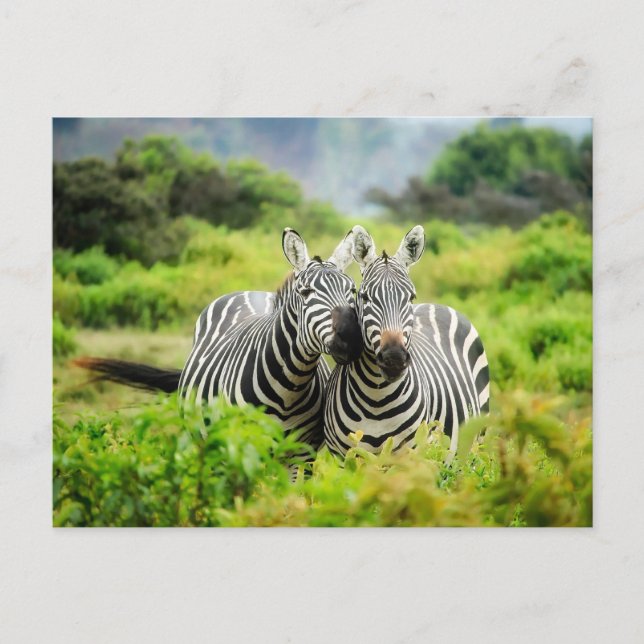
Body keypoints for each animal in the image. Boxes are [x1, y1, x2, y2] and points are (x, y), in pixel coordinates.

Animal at [76, 228, 362, 451]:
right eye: (305, 292)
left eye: (352, 290)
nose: (350, 337)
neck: (289, 387)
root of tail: (250, 291)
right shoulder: (242, 445)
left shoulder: (301, 454)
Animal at [324, 225, 490, 458]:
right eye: (365, 297)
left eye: (411, 297)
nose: (394, 359)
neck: (376, 399)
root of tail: (437, 305)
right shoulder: (342, 457)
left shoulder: (410, 456)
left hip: (475, 443)